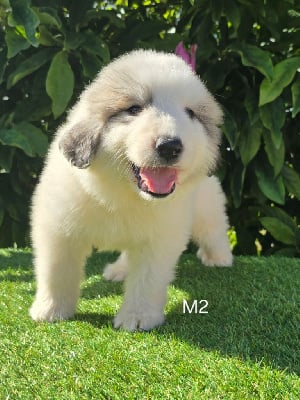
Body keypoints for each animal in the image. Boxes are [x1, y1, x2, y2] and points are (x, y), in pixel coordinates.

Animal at [29, 49, 232, 332]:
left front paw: (138, 317)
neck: (121, 194)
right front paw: (50, 310)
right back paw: (119, 270)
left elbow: (147, 279)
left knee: (214, 228)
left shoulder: (161, 237)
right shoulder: (58, 229)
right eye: (134, 109)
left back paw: (220, 257)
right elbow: (57, 271)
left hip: (205, 203)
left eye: (190, 113)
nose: (170, 146)